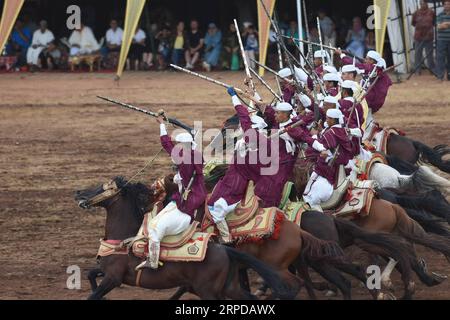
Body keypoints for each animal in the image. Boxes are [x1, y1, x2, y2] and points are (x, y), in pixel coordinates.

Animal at [74, 178, 296, 300]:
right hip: (229, 287)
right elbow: (91, 275)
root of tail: (225, 249)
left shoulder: (113, 278)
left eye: (103, 188)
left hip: (208, 291)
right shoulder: (107, 273)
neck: (123, 240)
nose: (78, 193)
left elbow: (93, 294)